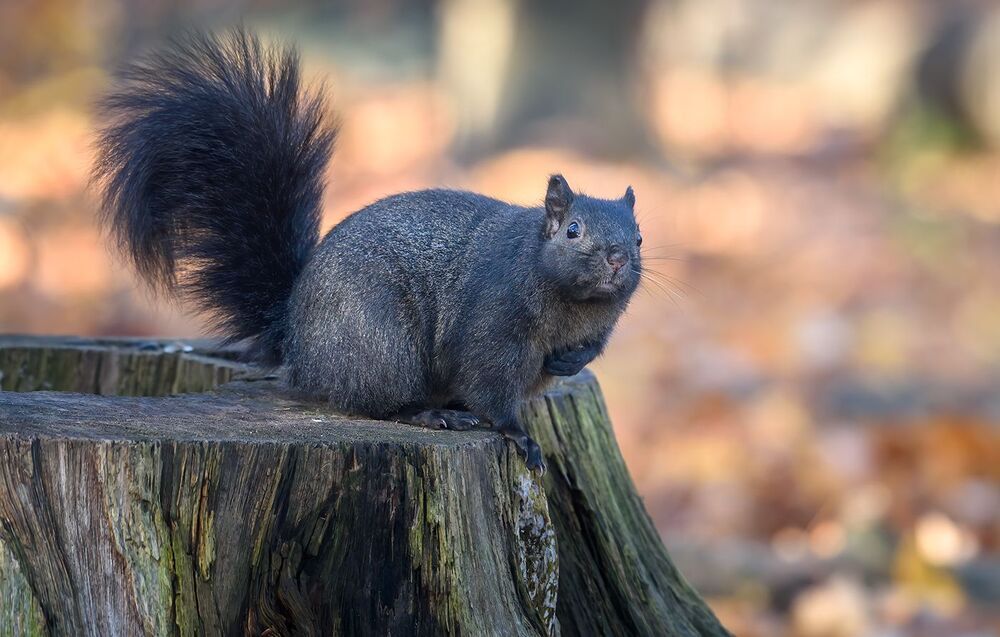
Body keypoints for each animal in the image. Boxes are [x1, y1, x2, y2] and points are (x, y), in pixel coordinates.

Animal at [94, 29, 642, 473]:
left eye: (639, 237)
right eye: (572, 231)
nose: (618, 258)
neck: (569, 302)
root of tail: (296, 340)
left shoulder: (597, 325)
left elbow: (590, 349)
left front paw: (571, 362)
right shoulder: (492, 328)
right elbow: (491, 388)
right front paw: (518, 435)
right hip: (381, 344)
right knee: (375, 403)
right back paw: (429, 412)